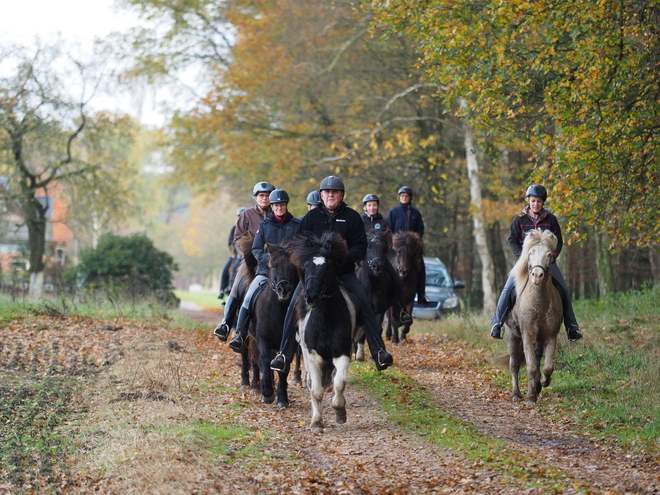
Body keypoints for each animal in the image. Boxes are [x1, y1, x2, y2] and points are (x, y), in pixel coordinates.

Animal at [246, 242, 300, 408]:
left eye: (292, 266)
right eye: (274, 266)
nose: (284, 289)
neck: (279, 311)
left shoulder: (289, 343)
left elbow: (283, 367)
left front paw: (282, 398)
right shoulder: (263, 339)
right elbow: (264, 361)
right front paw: (268, 393)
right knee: (256, 361)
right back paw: (256, 386)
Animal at [290, 232, 364, 434]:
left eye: (328, 267)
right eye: (306, 266)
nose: (310, 297)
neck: (325, 319)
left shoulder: (343, 353)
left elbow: (340, 382)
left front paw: (340, 411)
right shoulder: (312, 356)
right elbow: (316, 391)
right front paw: (316, 423)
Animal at [356, 231, 392, 362]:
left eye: (382, 248)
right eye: (368, 247)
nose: (377, 266)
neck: (371, 283)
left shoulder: (379, 310)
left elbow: (376, 328)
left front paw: (375, 356)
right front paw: (359, 356)